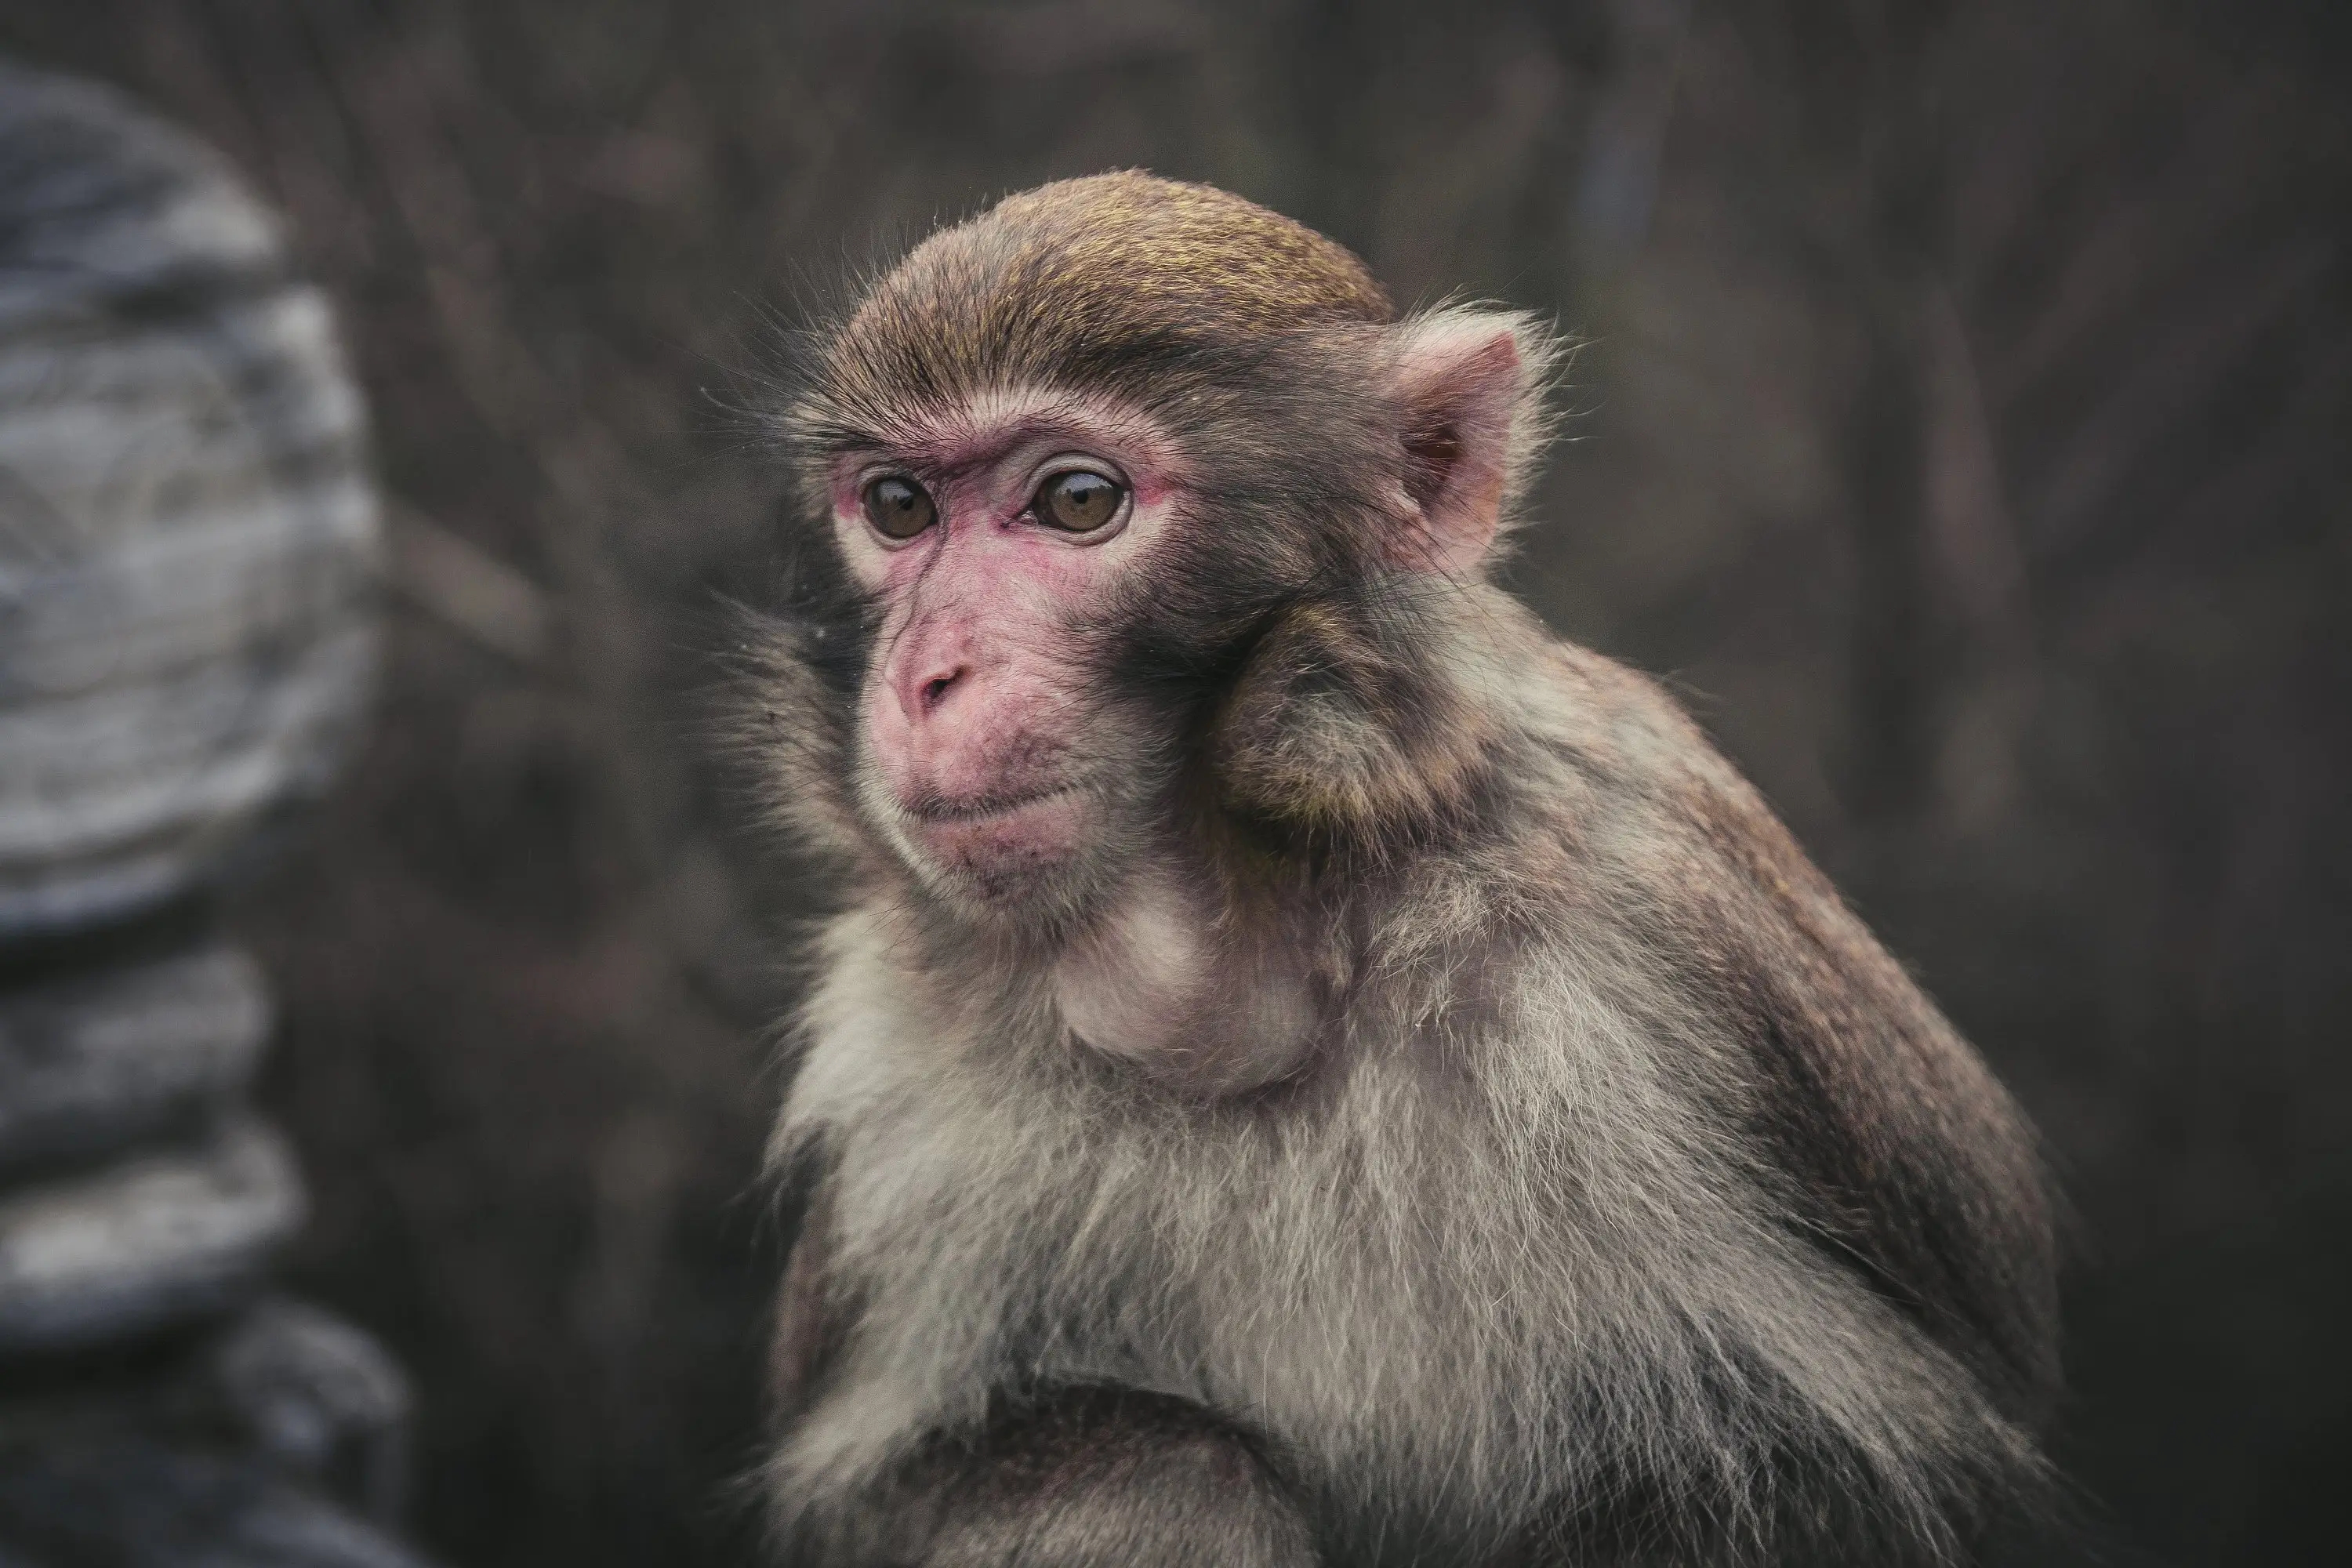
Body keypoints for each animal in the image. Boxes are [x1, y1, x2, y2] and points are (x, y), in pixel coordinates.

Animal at [743, 175, 2051, 1568]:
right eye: (898, 508)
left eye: (1077, 501)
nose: (927, 678)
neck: (1246, 987)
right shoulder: (891, 1086)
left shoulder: (1655, 919)